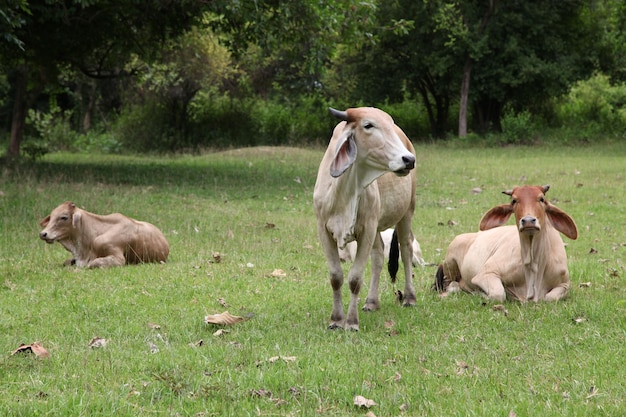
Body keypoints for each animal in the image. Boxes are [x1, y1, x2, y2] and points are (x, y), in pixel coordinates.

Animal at [40, 201, 169, 266]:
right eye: (51, 216)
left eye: (64, 217)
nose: (43, 234)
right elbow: (67, 262)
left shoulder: (118, 258)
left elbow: (93, 263)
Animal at [312, 105, 414, 330]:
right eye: (368, 125)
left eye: (390, 124)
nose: (409, 159)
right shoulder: (324, 230)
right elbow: (336, 276)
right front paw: (336, 320)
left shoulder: (366, 230)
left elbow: (355, 279)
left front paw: (351, 322)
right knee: (378, 256)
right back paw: (371, 302)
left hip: (407, 212)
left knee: (406, 250)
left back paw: (410, 297)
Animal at [434, 184, 576, 300]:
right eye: (514, 200)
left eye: (541, 199)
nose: (528, 221)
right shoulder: (486, 273)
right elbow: (498, 294)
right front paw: (479, 293)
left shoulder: (565, 283)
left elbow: (549, 298)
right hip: (450, 261)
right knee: (450, 283)